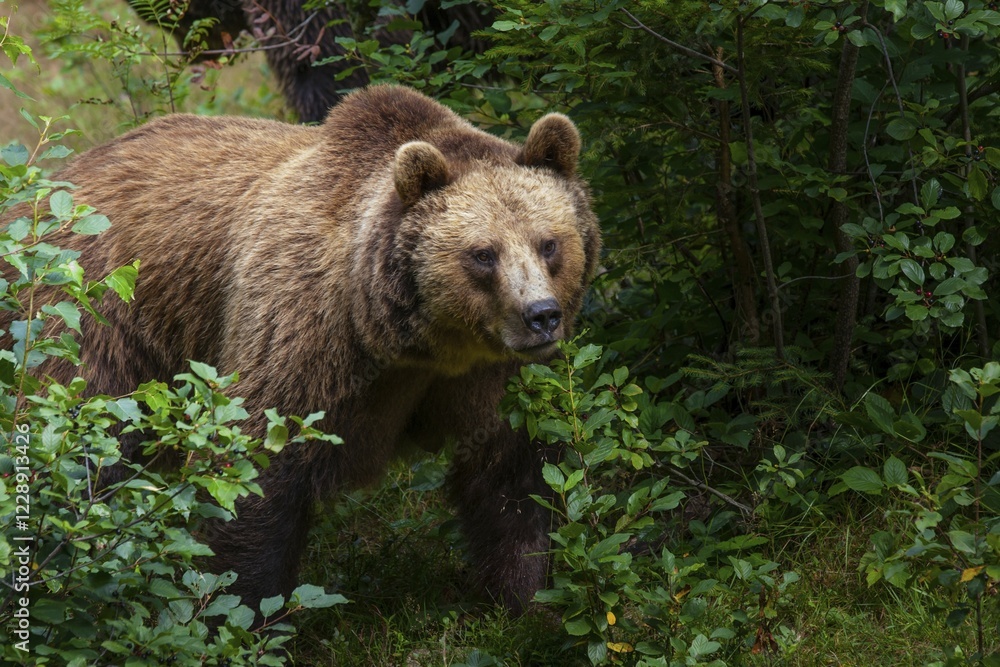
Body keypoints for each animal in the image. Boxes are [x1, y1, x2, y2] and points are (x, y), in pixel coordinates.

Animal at [4, 85, 601, 614]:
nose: (541, 316)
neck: (414, 343)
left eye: (549, 243)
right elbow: (254, 467)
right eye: (483, 254)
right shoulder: (307, 333)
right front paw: (242, 610)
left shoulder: (491, 374)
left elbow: (514, 481)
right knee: (86, 442)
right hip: (90, 315)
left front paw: (524, 602)